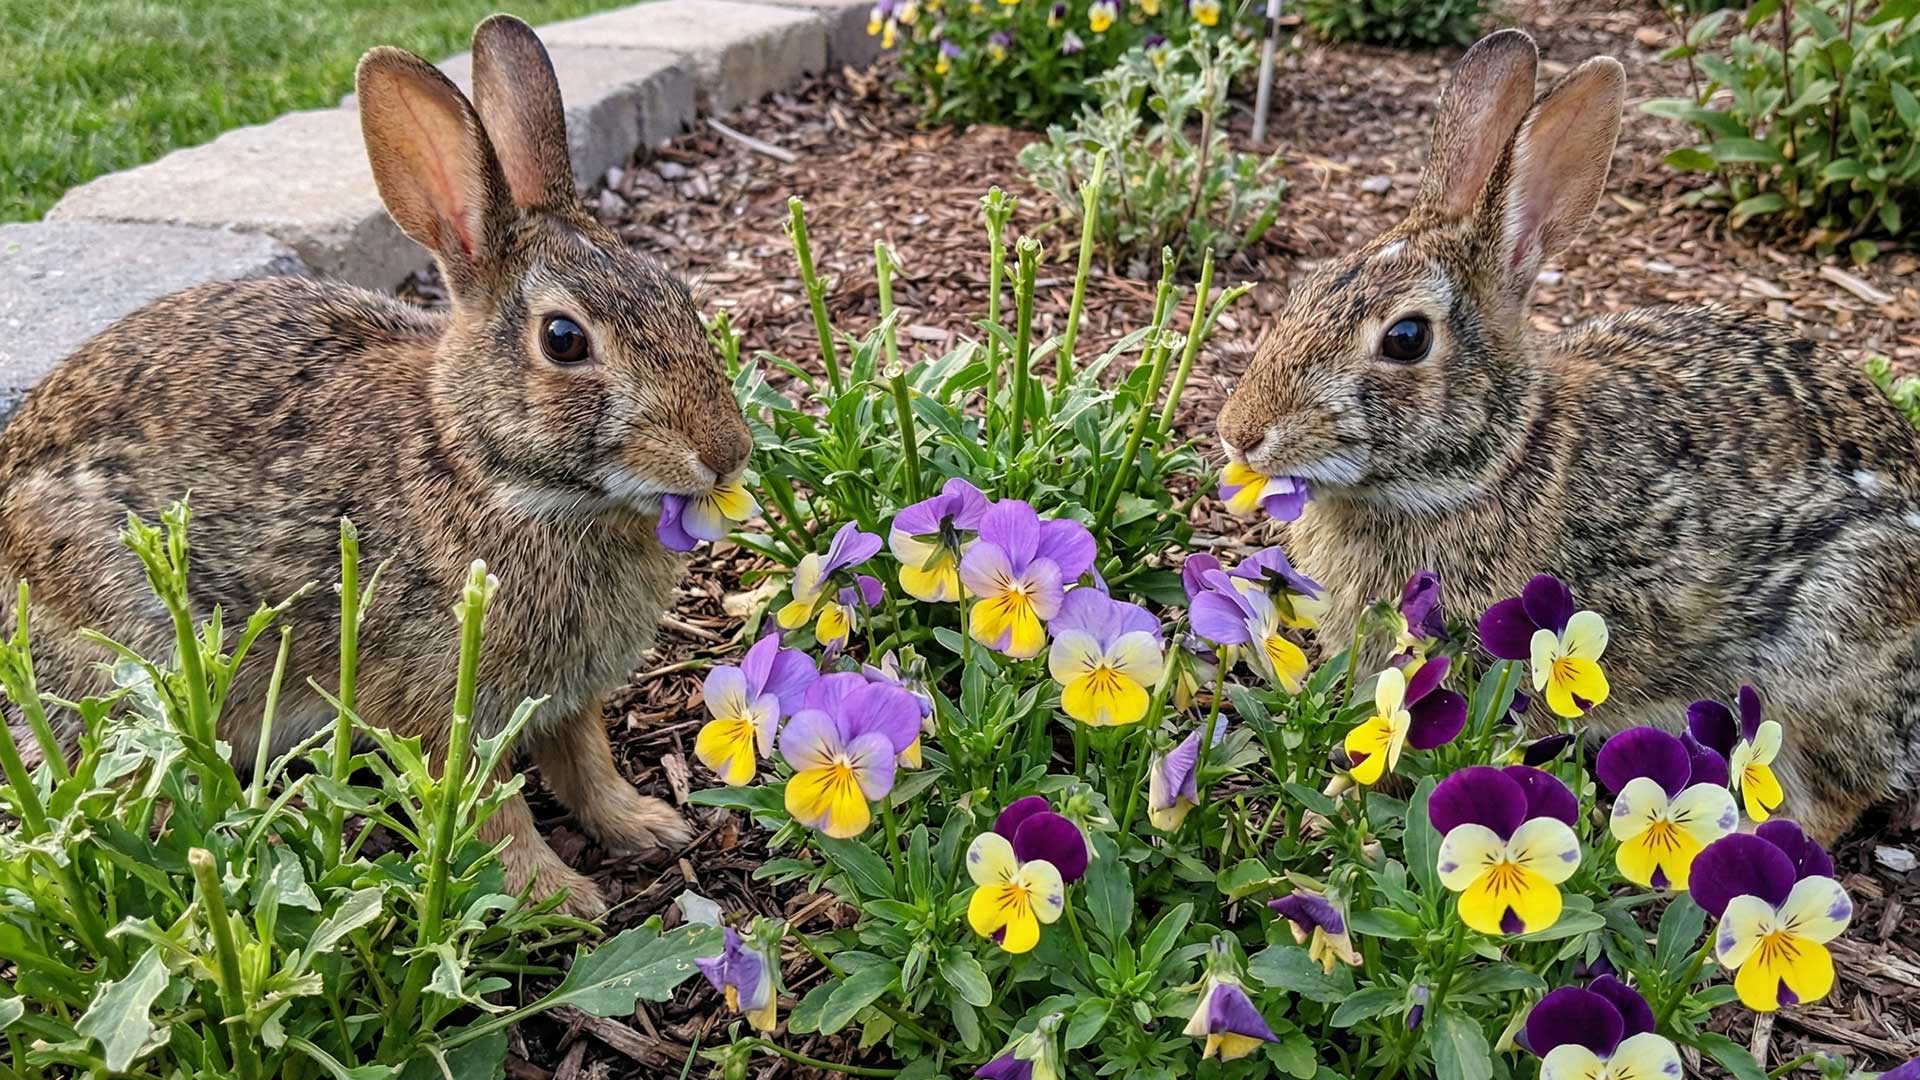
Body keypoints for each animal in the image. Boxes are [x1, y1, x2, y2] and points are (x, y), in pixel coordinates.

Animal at [0, 15, 753, 917]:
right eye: (564, 339)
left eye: (676, 291)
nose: (725, 451)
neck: (485, 470)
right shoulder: (442, 712)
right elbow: (486, 809)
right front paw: (554, 896)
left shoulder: (568, 700)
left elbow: (586, 764)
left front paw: (646, 827)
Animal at [1216, 28, 1920, 846]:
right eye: (1301, 289)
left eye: (1406, 338)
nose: (1240, 433)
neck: (1495, 462)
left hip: (1826, 644)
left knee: (1831, 798)